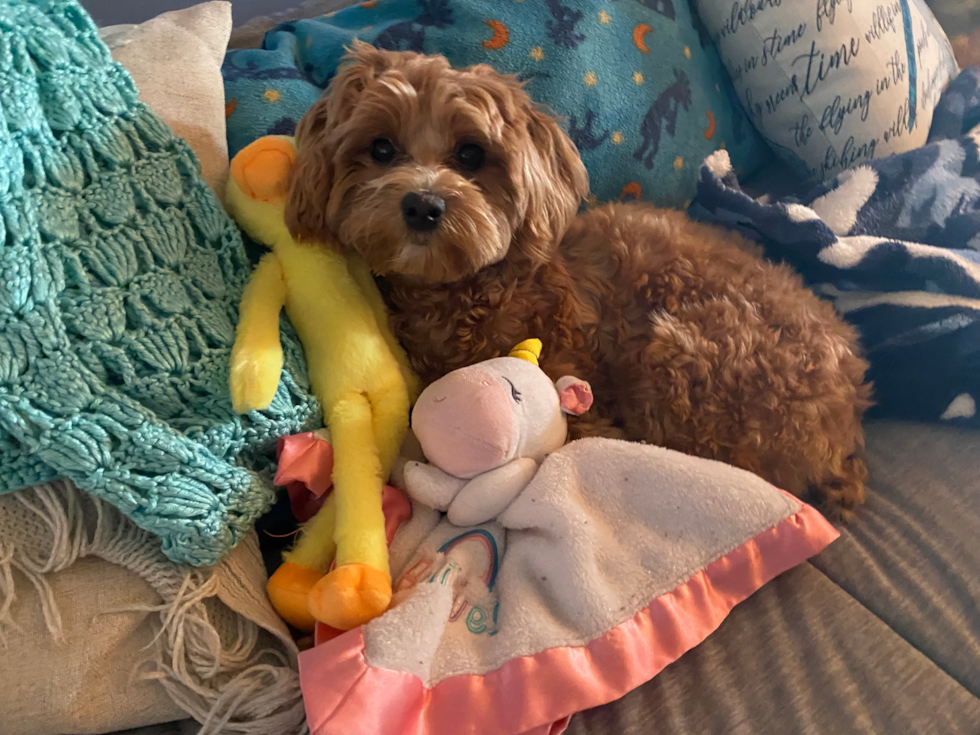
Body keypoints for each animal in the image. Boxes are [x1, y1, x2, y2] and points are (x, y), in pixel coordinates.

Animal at [286, 43, 872, 520]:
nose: (424, 205)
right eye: (381, 148)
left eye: (471, 154)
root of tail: (847, 422)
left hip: (681, 358)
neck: (472, 286)